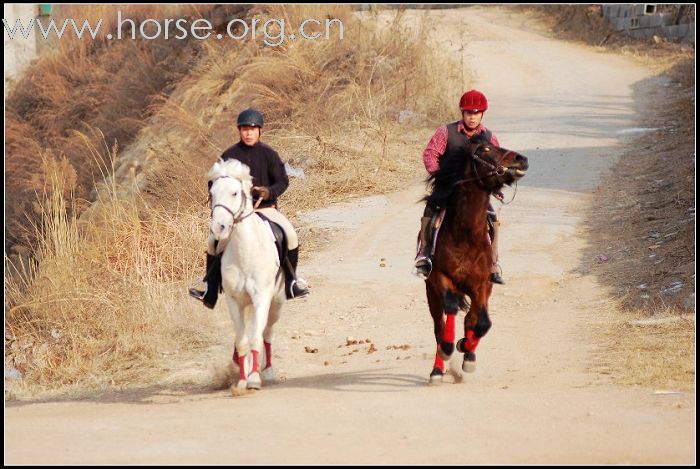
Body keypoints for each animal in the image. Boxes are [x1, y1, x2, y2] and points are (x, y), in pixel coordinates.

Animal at [206, 159, 286, 390]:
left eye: (234, 193)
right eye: (212, 193)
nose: (219, 228)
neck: (245, 252)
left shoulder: (261, 299)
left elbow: (256, 338)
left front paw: (254, 378)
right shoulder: (234, 301)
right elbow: (242, 341)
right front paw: (242, 379)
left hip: (276, 303)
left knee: (267, 332)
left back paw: (267, 371)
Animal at [422, 143, 532, 384]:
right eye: (486, 149)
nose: (522, 159)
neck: (465, 236)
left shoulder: (482, 285)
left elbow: (482, 323)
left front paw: (465, 348)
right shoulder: (441, 278)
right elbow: (449, 313)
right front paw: (449, 348)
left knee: (471, 319)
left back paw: (467, 352)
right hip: (431, 292)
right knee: (439, 325)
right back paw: (437, 369)